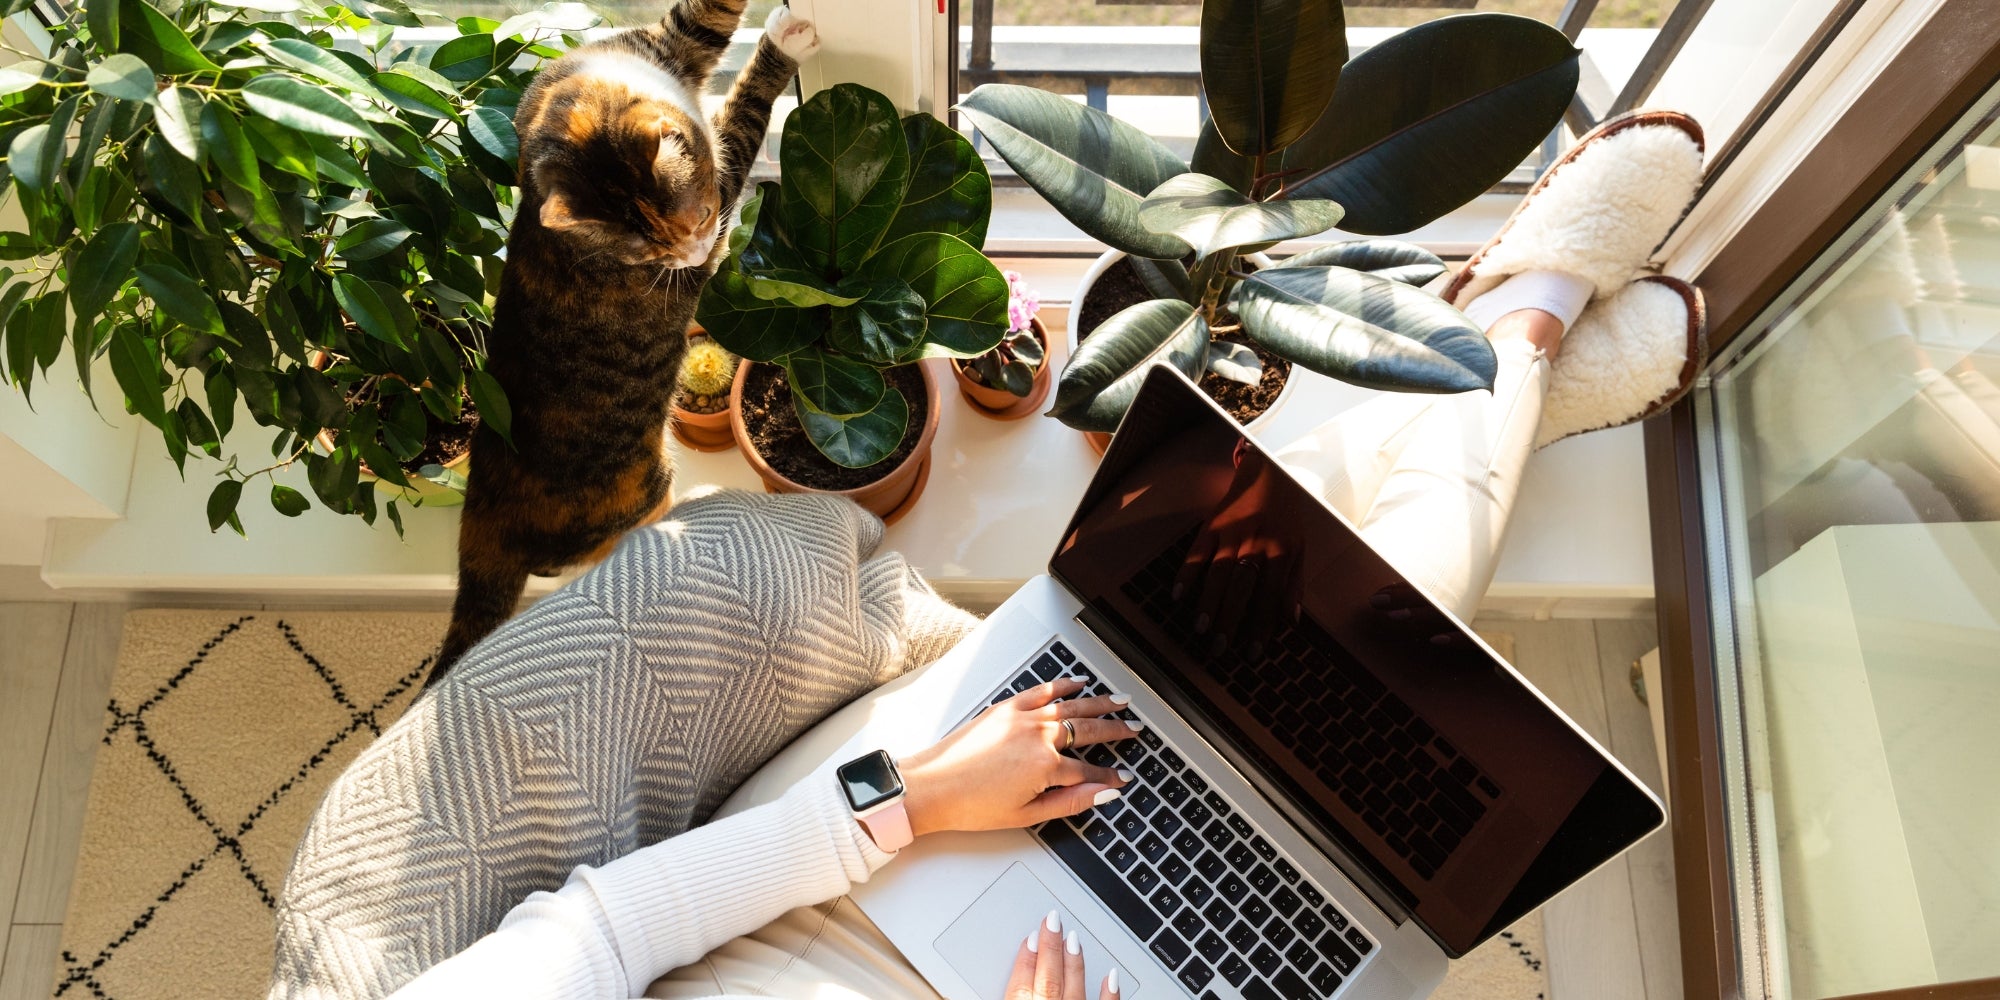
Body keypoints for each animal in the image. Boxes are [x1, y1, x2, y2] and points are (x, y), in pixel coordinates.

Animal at [430, 0, 820, 688]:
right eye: (651, 252)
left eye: (692, 219)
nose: (696, 250)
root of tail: (483, 522)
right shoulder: (723, 180)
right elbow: (743, 117)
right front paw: (787, 40)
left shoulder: (670, 41)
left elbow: (706, 17)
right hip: (642, 486)